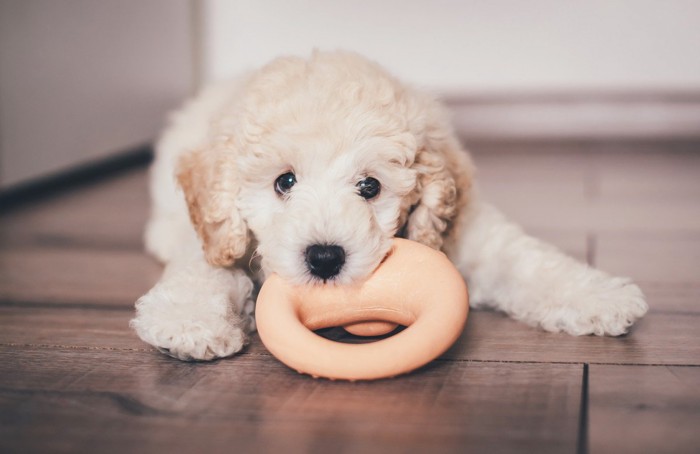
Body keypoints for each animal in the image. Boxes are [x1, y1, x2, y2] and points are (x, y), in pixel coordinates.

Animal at [130, 50, 644, 362]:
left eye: (370, 186)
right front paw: (187, 323)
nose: (324, 257)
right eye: (284, 182)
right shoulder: (217, 232)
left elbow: (525, 261)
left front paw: (601, 296)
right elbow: (203, 268)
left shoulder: (467, 231)